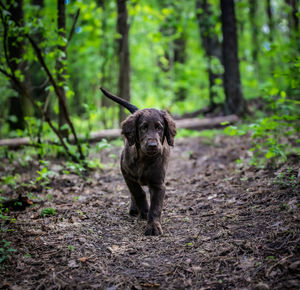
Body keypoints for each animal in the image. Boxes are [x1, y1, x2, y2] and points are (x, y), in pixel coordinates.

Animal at [101, 88, 176, 236]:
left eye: (159, 127)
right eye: (143, 127)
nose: (152, 145)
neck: (144, 159)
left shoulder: (158, 184)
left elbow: (156, 206)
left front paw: (153, 226)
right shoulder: (127, 175)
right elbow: (138, 193)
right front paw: (144, 211)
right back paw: (135, 208)